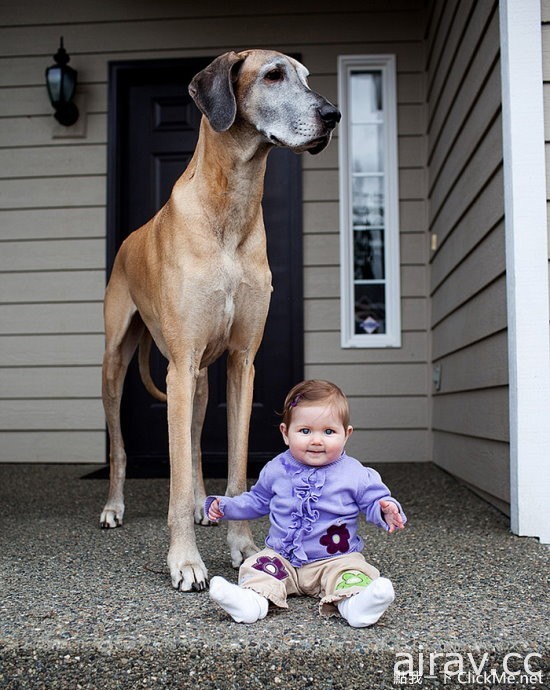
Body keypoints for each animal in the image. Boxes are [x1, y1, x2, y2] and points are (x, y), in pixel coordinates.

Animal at [99, 48, 340, 588]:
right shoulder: (180, 364)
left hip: (200, 379)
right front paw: (185, 561)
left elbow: (233, 465)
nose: (332, 115)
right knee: (121, 446)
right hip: (117, 364)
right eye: (272, 75)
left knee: (191, 438)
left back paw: (198, 504)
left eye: (306, 77)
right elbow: (174, 476)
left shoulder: (240, 363)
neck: (232, 204)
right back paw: (114, 505)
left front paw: (243, 545)